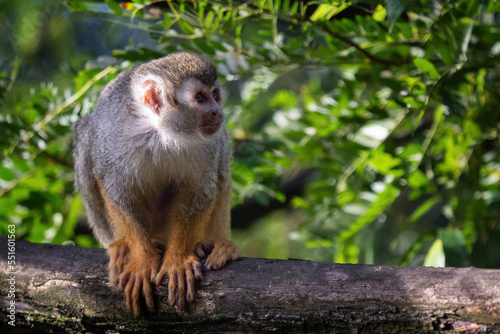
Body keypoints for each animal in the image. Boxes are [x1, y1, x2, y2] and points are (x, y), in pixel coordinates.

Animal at [72, 52, 240, 316]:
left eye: (215, 94)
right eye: (200, 98)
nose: (216, 111)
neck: (161, 132)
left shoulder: (207, 144)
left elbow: (200, 193)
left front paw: (178, 259)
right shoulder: (113, 137)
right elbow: (118, 192)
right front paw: (142, 259)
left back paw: (216, 244)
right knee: (87, 133)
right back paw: (122, 246)